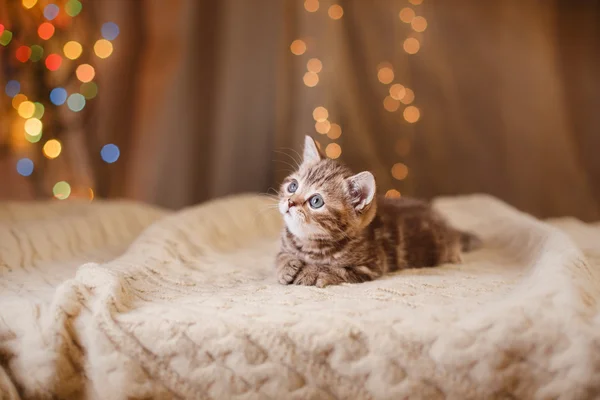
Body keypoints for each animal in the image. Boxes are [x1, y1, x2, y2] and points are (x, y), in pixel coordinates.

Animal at [274, 137, 480, 288]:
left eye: (316, 201)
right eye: (293, 186)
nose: (290, 202)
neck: (308, 243)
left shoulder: (371, 265)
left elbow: (334, 269)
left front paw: (311, 272)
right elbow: (279, 255)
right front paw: (286, 266)